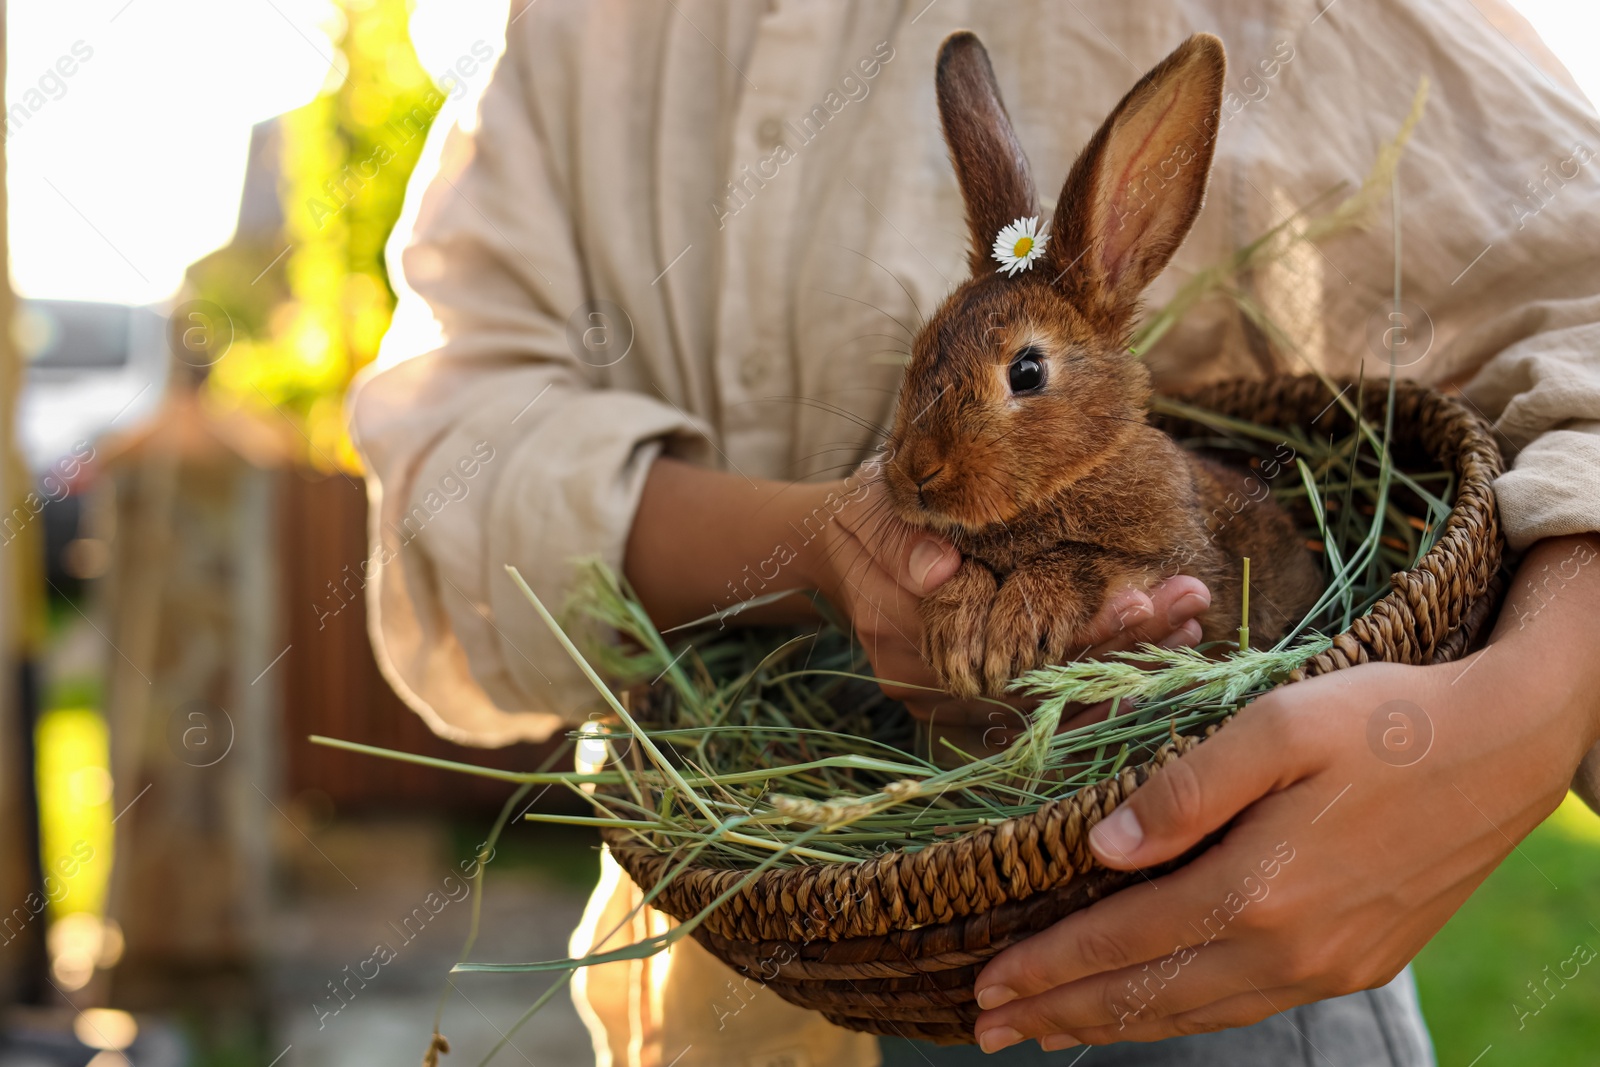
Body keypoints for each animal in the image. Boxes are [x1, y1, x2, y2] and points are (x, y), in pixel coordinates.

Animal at [883, 31, 1318, 700]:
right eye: (923, 347)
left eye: (1027, 372)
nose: (917, 471)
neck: (1077, 472)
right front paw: (957, 635)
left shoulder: (1188, 568)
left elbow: (1084, 558)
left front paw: (1014, 628)